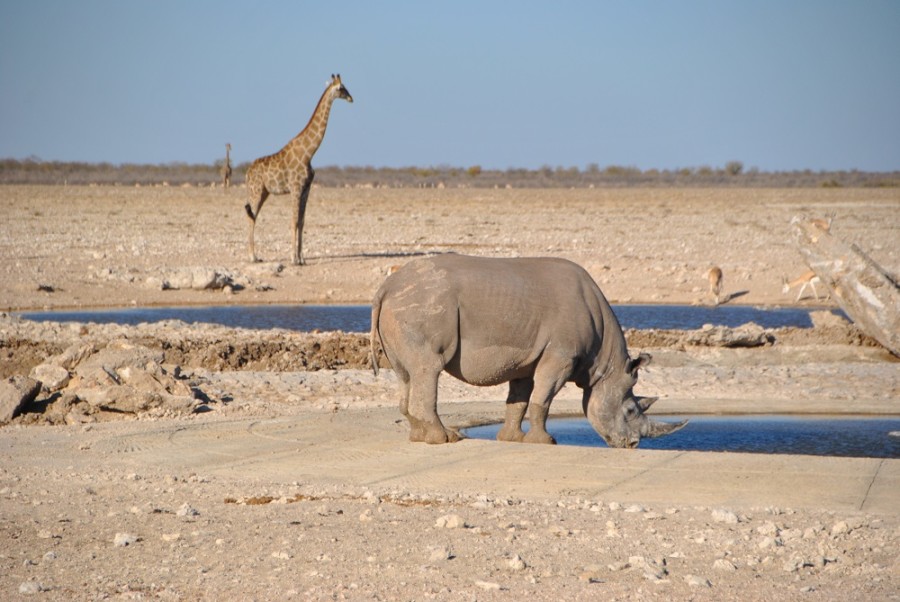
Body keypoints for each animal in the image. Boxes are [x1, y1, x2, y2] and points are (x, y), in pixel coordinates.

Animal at [244, 74, 354, 264]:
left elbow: (302, 222)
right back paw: (253, 257)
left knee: (253, 216)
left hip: (264, 192)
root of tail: (247, 173)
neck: (309, 153)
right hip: (256, 191)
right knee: (251, 217)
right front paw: (293, 259)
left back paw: (254, 256)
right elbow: (293, 221)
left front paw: (302, 259)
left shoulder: (306, 189)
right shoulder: (295, 187)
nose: (351, 98)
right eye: (341, 88)